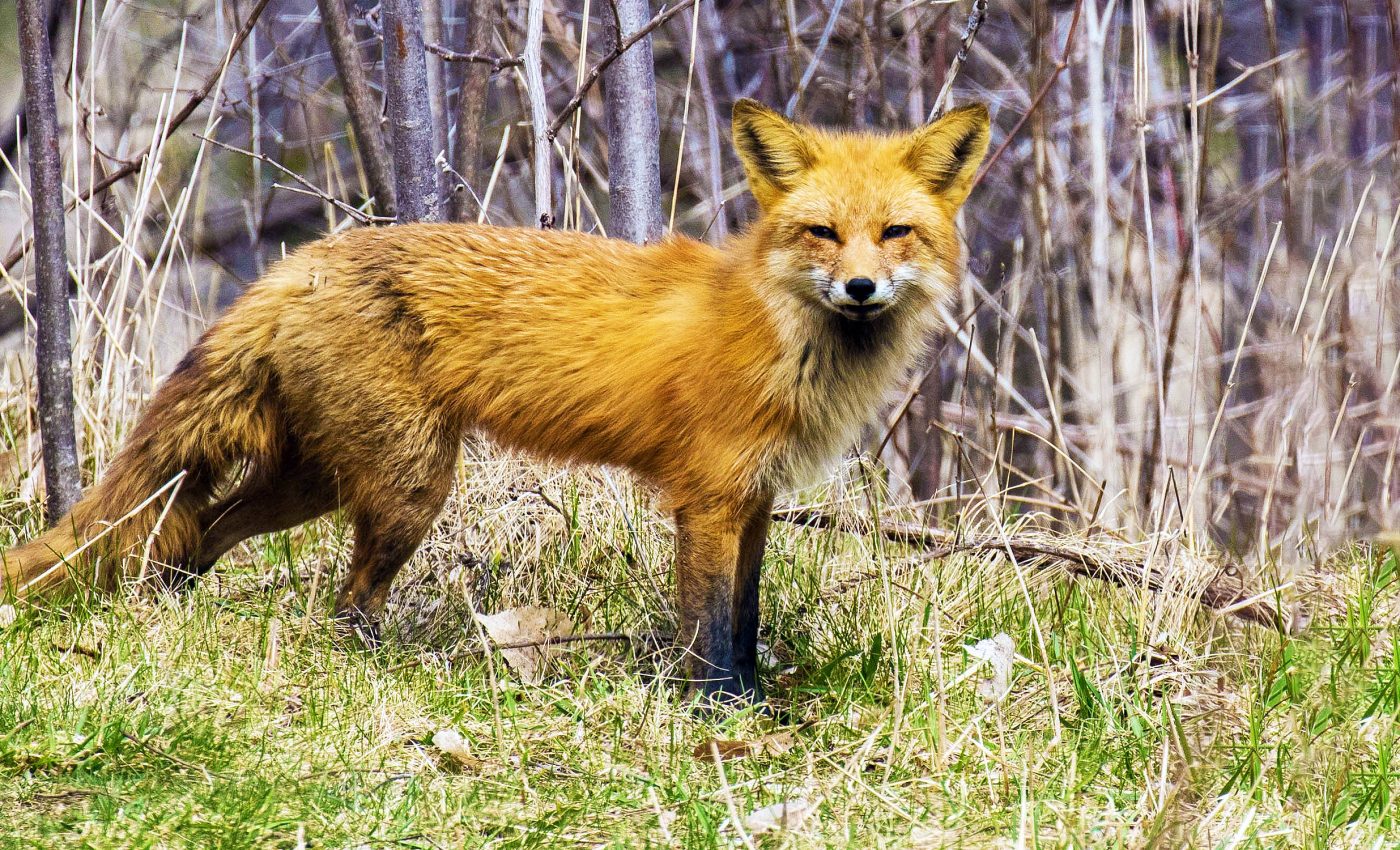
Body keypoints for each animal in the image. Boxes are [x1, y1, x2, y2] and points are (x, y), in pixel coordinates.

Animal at [1, 99, 989, 705]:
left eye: (895, 232)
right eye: (821, 232)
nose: (860, 287)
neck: (784, 336)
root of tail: (304, 262)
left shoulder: (755, 499)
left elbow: (742, 622)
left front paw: (753, 704)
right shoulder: (708, 497)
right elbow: (709, 629)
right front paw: (716, 716)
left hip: (314, 482)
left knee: (194, 534)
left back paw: (166, 613)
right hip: (408, 486)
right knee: (342, 596)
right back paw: (376, 664)